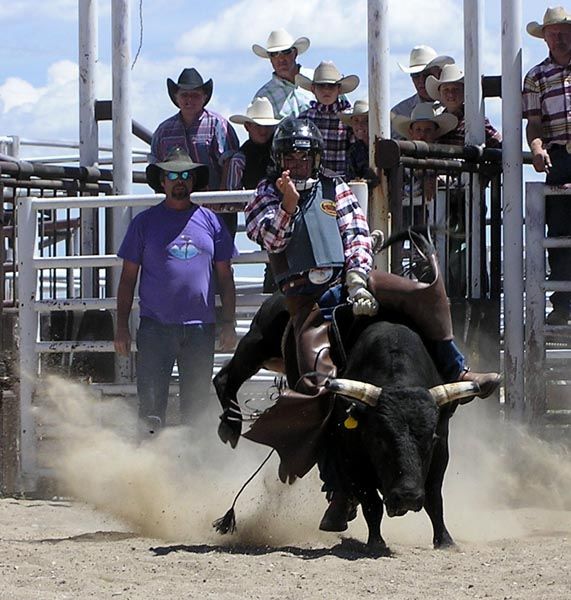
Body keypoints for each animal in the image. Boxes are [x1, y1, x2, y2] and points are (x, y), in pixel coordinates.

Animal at [214, 292, 482, 552]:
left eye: (429, 439)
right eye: (379, 439)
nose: (407, 496)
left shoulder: (441, 448)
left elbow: (434, 498)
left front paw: (445, 540)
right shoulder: (350, 454)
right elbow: (371, 501)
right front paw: (375, 542)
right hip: (258, 341)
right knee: (226, 376)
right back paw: (231, 424)